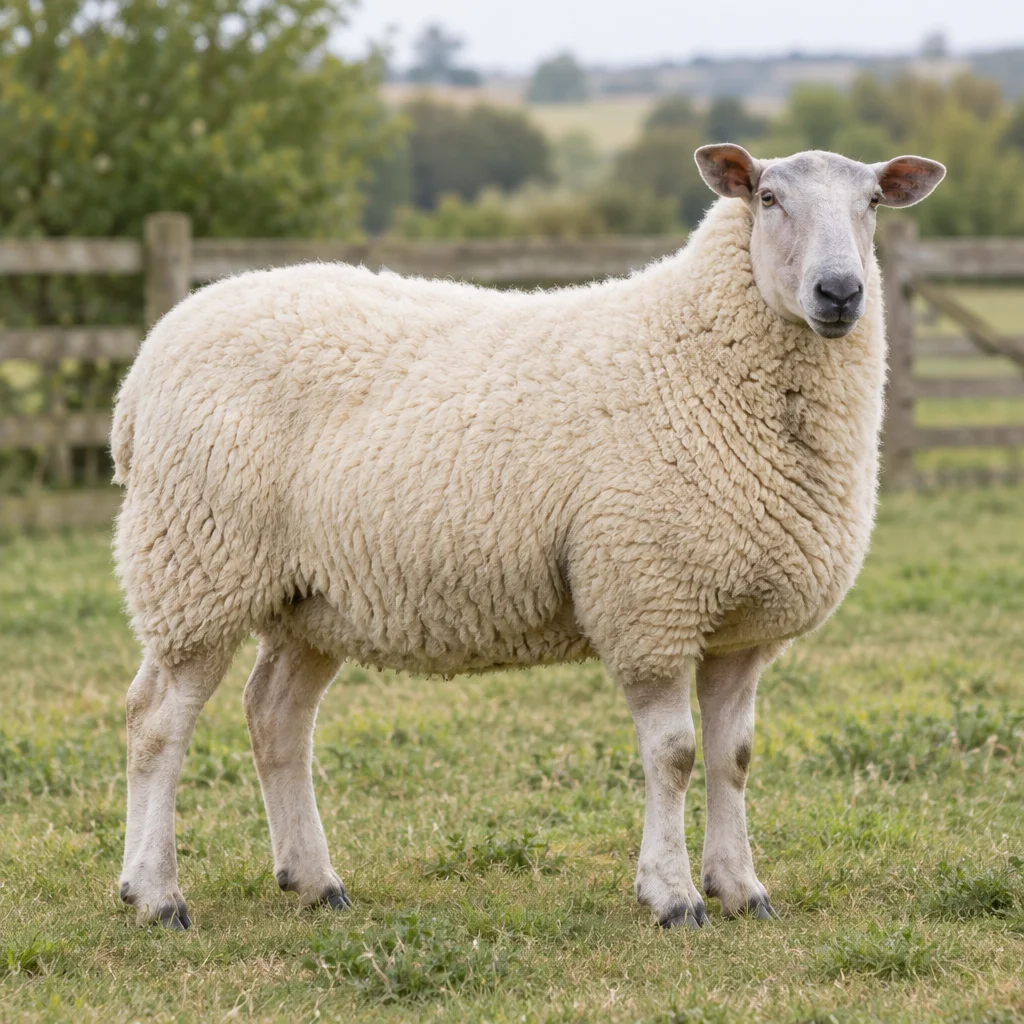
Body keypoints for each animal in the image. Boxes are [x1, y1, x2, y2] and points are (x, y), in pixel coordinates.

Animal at [111, 145, 945, 931]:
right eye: (769, 198)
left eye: (873, 202)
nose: (840, 293)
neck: (699, 352)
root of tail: (143, 367)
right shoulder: (648, 600)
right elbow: (674, 756)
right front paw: (673, 896)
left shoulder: (741, 625)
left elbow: (732, 759)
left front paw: (741, 889)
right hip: (195, 564)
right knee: (155, 722)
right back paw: (155, 894)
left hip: (310, 597)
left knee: (276, 717)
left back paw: (314, 881)